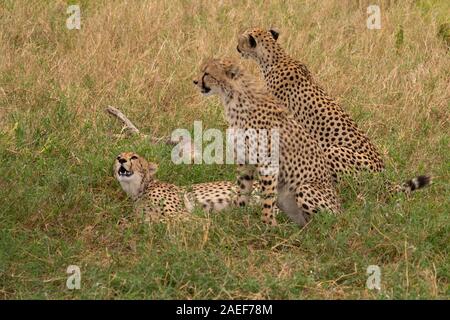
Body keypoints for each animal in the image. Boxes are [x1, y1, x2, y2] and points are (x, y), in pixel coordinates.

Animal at [192, 58, 340, 226]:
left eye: (207, 73)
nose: (195, 81)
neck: (233, 99)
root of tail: (341, 210)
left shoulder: (268, 163)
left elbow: (268, 196)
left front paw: (268, 224)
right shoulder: (244, 161)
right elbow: (242, 190)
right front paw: (237, 216)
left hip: (305, 189)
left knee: (324, 222)